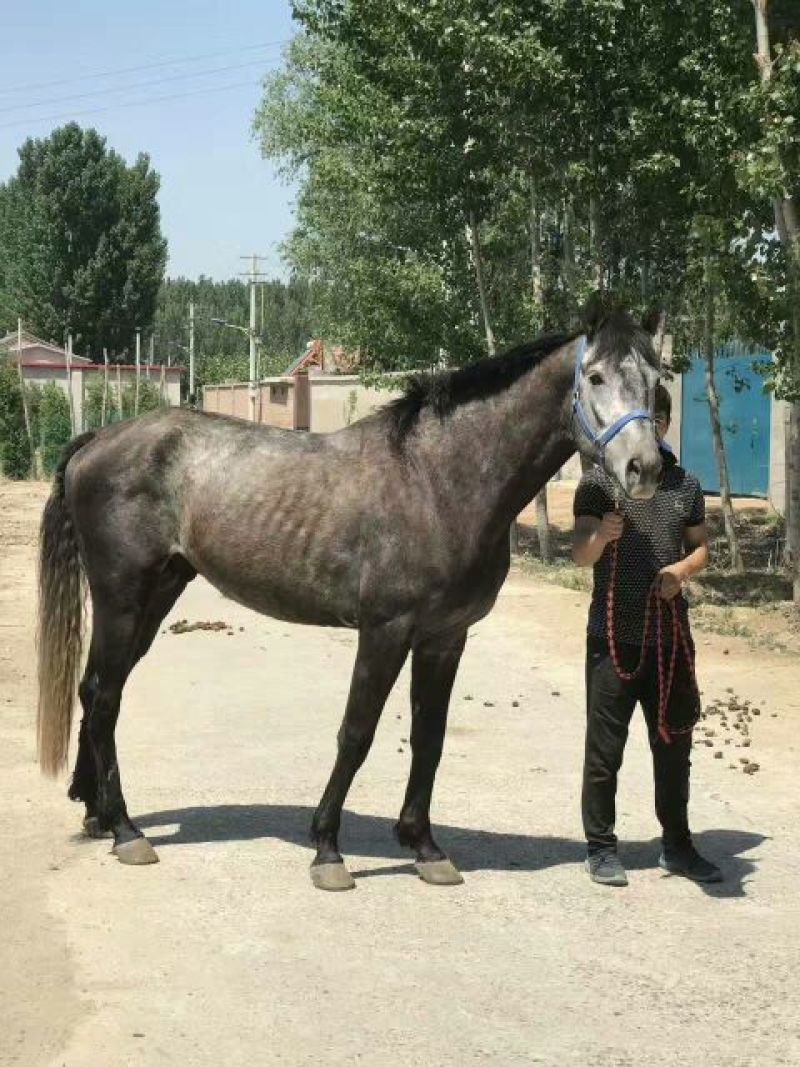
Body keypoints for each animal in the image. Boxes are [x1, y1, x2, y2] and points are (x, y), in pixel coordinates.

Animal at [36, 301, 662, 890]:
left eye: (656, 377)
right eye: (596, 376)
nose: (646, 468)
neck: (437, 480)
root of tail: (98, 440)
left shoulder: (445, 637)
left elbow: (429, 738)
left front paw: (425, 848)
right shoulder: (384, 631)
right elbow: (356, 734)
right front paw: (327, 851)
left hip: (158, 593)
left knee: (100, 691)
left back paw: (98, 815)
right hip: (121, 597)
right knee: (104, 695)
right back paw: (126, 831)